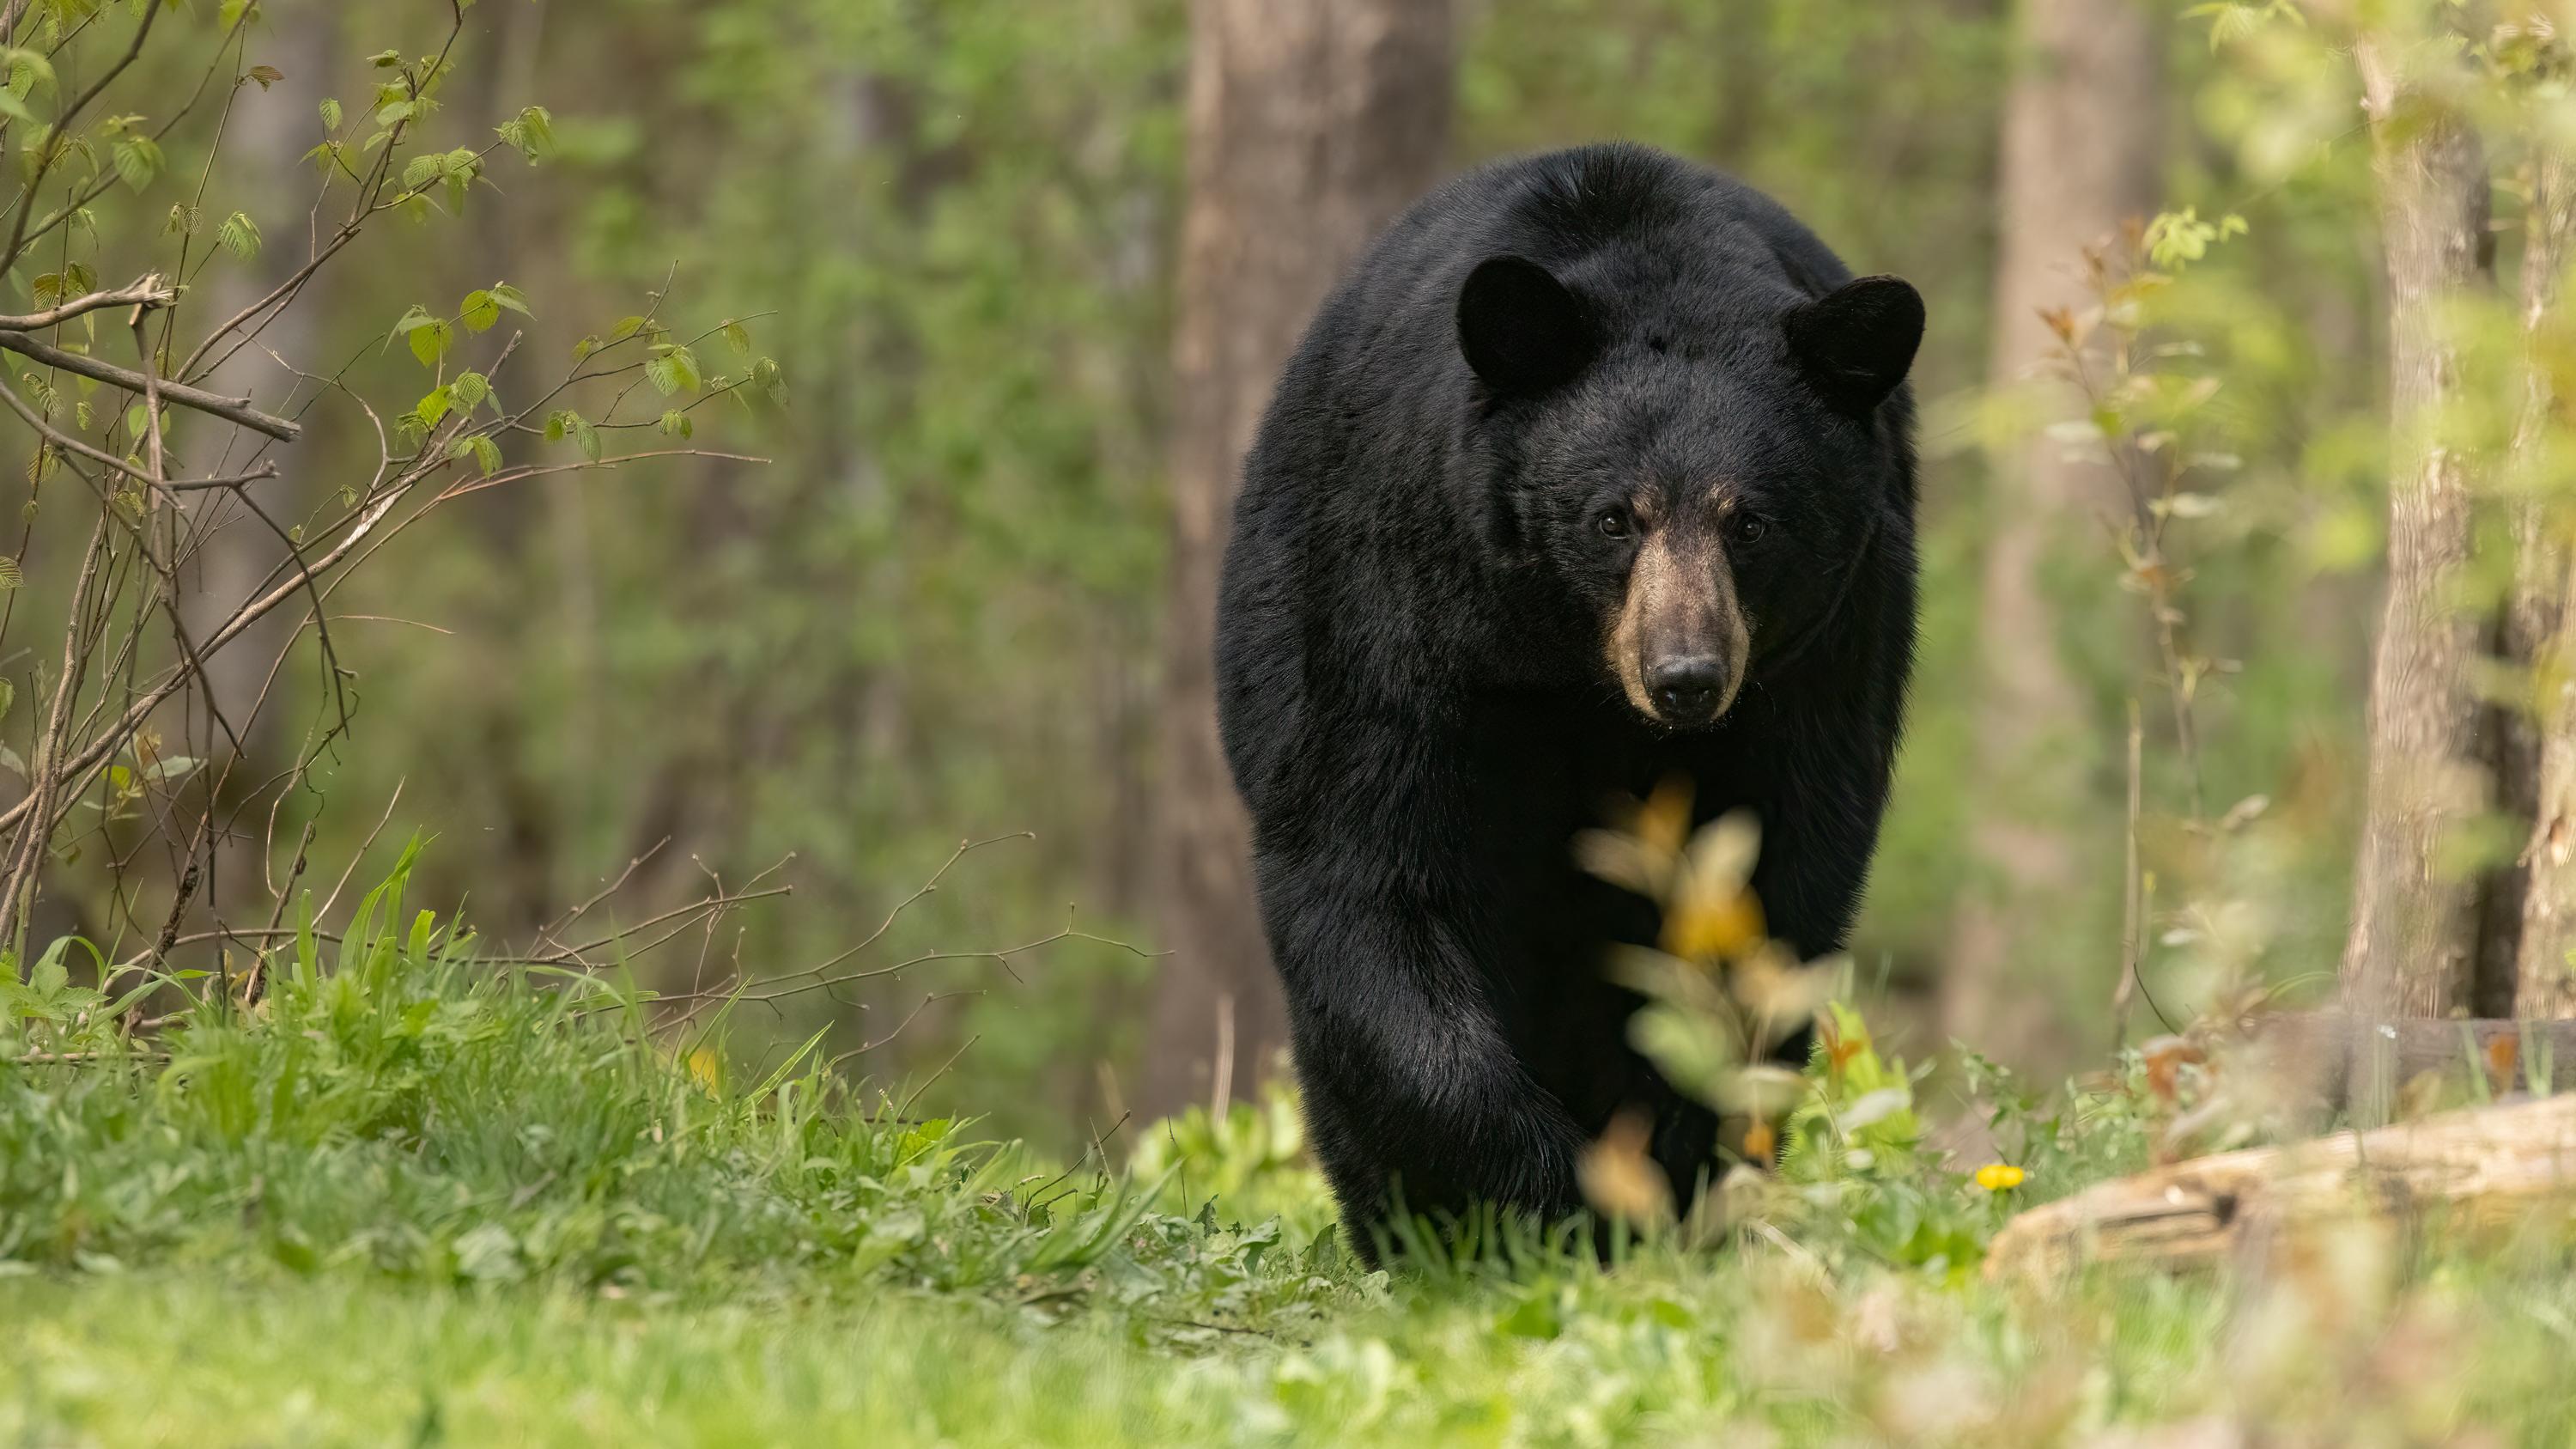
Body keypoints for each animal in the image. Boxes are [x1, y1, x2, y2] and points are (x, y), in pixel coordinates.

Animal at [1212, 142, 1922, 1261]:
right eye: (1613, 517)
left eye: (1751, 521)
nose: (1686, 677)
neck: (1570, 671)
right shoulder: (1398, 600)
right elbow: (1370, 867)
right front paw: (1526, 1197)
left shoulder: (1823, 661)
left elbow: (1765, 894)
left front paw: (1661, 1175)